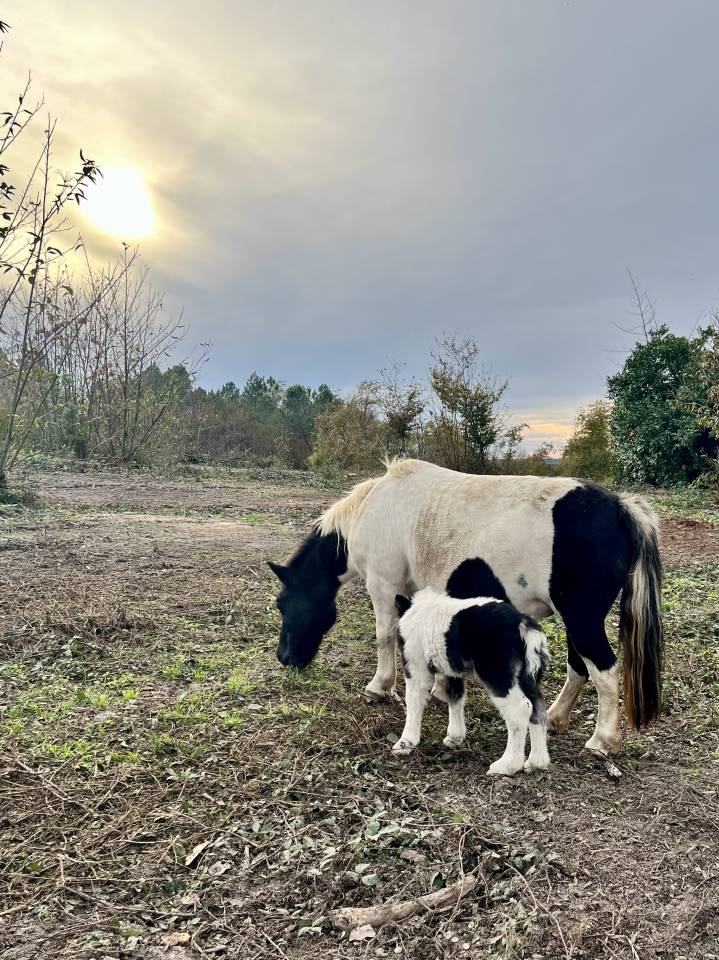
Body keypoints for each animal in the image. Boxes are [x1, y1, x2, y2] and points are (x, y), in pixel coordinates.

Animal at [268, 458, 663, 755]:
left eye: (284, 604)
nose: (285, 658)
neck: (374, 506)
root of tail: (620, 508)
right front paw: (443, 690)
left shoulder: (383, 586)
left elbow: (384, 637)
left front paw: (380, 687)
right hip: (576, 621)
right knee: (579, 667)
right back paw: (555, 718)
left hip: (582, 619)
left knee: (604, 671)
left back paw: (602, 740)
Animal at [393, 589, 551, 776]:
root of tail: (522, 624)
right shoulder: (451, 670)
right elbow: (455, 696)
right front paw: (455, 737)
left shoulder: (415, 667)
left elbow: (413, 701)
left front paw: (405, 743)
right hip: (525, 677)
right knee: (537, 706)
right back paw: (536, 762)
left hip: (498, 676)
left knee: (520, 709)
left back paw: (508, 765)